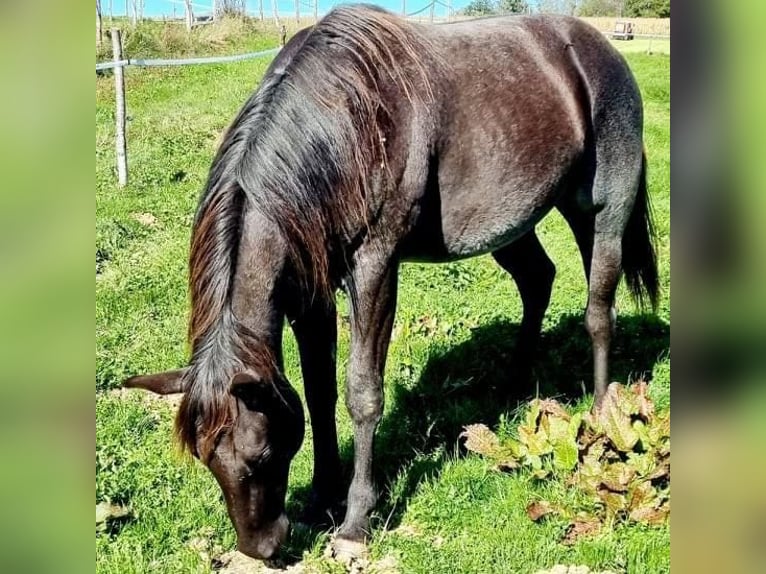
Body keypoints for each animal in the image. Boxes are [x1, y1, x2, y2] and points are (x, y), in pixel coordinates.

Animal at [126, 4, 660, 564]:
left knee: (599, 309)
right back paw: (513, 385)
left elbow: (362, 392)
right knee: (538, 280)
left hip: (600, 210)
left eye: (263, 451)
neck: (342, 123)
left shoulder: (376, 268)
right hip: (513, 220)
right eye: (207, 459)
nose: (263, 547)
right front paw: (322, 496)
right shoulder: (310, 293)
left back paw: (601, 417)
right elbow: (318, 390)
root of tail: (600, 48)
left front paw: (355, 521)